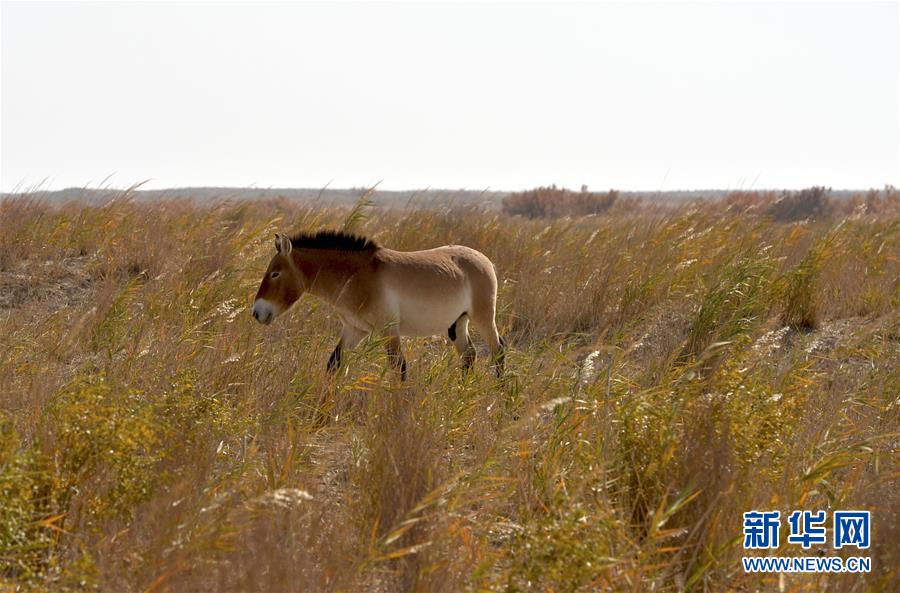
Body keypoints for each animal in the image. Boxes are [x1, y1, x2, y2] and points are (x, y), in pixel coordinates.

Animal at [253, 231, 506, 380]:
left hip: (483, 318)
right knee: (469, 355)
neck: (357, 276)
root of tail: (485, 260)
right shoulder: (354, 329)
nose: (257, 312)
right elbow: (334, 364)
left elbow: (399, 368)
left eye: (275, 273)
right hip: (458, 323)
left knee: (498, 350)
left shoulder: (389, 330)